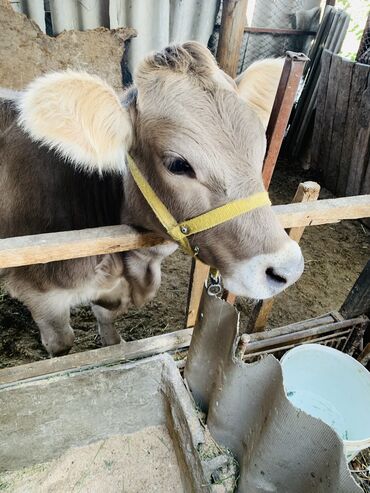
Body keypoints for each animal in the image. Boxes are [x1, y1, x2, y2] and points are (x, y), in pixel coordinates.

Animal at [0, 42, 304, 356]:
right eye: (177, 165)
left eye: (260, 145)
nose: (287, 269)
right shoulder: (40, 295)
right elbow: (62, 346)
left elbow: (107, 323)